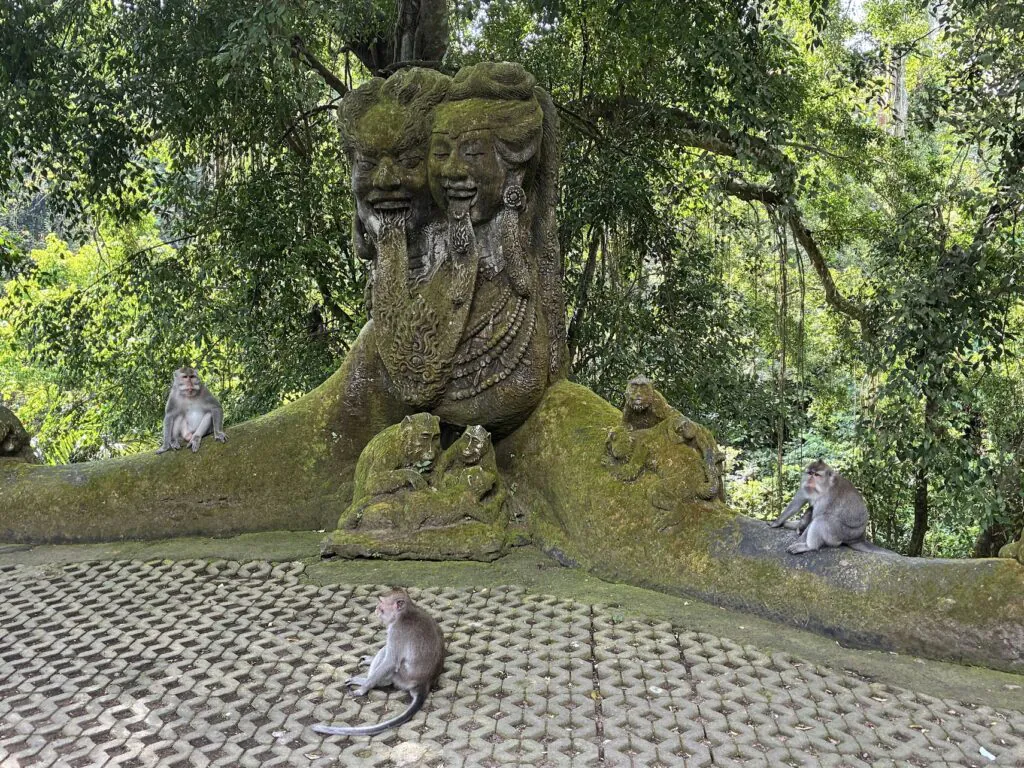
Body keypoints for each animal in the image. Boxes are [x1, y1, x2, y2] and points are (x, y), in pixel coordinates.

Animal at [313, 589, 445, 737]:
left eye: (381, 604)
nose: (376, 609)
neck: (404, 613)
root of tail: (424, 683)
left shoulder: (396, 632)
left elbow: (391, 662)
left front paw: (363, 689)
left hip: (400, 677)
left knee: (388, 657)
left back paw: (365, 681)